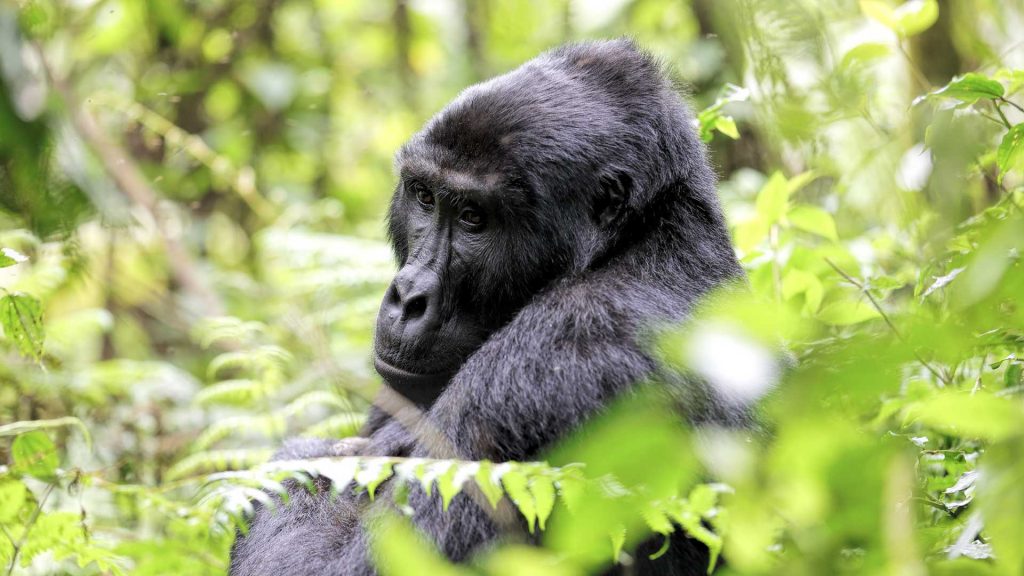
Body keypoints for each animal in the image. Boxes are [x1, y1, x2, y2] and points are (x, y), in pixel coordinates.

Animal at [230, 40, 745, 573]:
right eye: (424, 197)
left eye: (473, 218)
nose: (407, 297)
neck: (633, 239)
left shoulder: (551, 363)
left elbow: (353, 561)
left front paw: (314, 457)